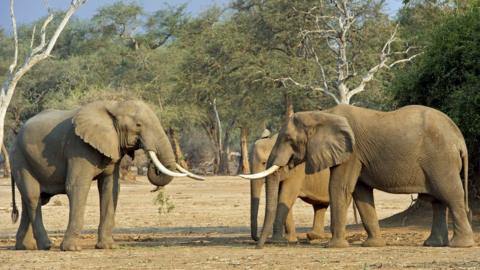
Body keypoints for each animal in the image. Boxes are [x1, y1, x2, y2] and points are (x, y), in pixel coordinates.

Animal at [10, 100, 203, 252]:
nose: (150, 164)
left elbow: (111, 188)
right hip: (20, 158)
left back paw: (25, 247)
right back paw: (46, 246)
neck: (114, 106)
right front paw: (72, 249)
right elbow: (76, 187)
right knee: (33, 197)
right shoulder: (78, 147)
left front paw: (108, 246)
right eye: (138, 125)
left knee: (31, 200)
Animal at [242, 104, 474, 248]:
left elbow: (339, 188)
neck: (323, 114)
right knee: (438, 201)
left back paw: (460, 245)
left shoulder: (351, 153)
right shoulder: (357, 157)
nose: (258, 247)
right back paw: (434, 244)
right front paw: (373, 245)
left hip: (441, 159)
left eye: (289, 139)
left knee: (450, 194)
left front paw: (333, 246)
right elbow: (361, 194)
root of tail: (459, 138)